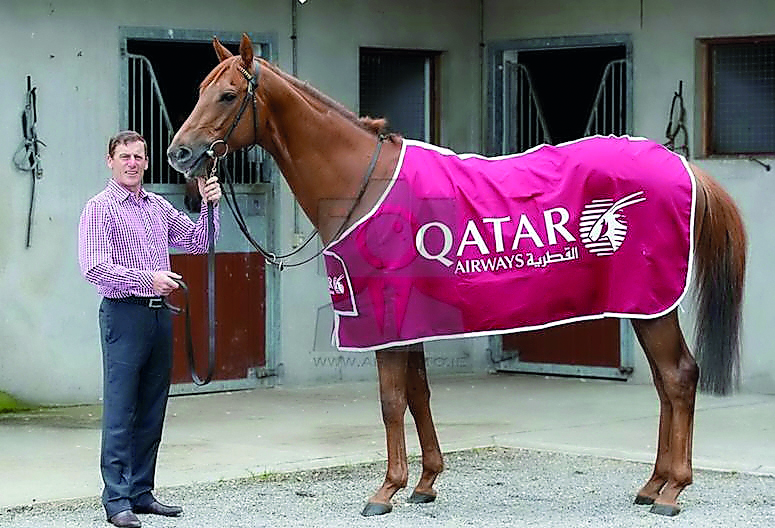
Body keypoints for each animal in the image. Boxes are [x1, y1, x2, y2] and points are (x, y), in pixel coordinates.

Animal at [167, 34, 746, 518]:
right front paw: (425, 483)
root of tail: (679, 164)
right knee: (666, 384)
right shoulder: (413, 323)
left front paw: (385, 491)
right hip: (643, 306)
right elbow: (419, 394)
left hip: (652, 306)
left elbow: (391, 401)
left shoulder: (385, 319)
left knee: (678, 377)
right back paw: (652, 485)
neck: (364, 183)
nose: (179, 153)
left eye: (227, 96)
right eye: (198, 90)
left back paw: (672, 492)